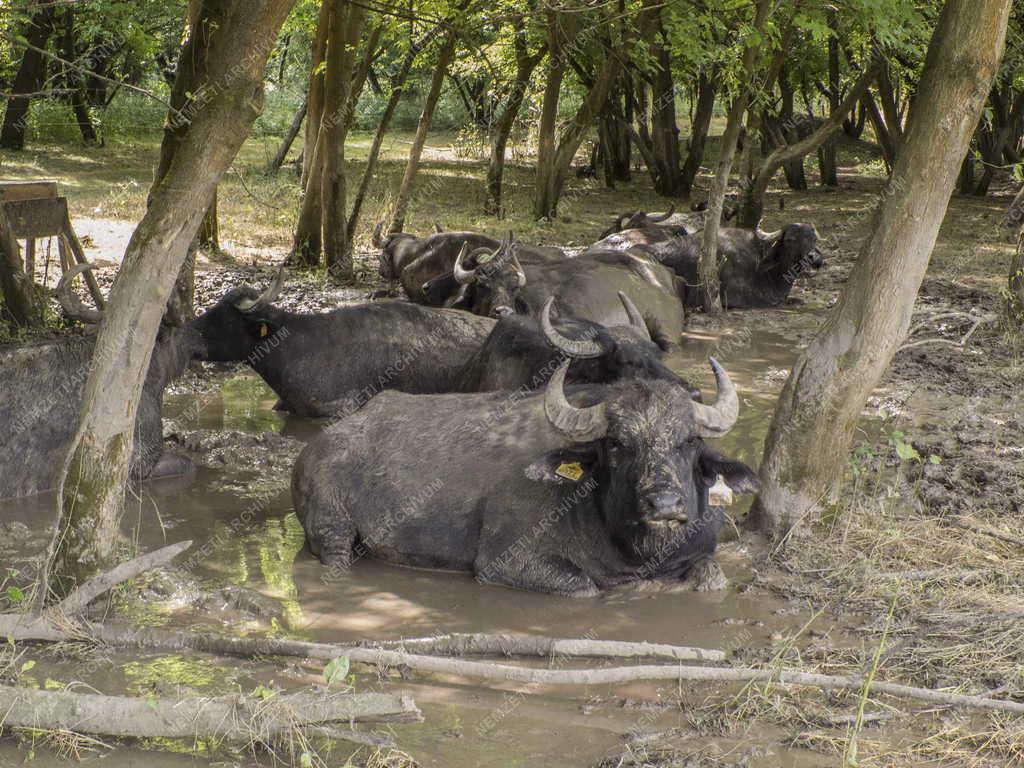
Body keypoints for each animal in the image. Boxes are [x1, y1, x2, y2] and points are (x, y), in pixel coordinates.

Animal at [292, 358, 757, 598]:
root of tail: (316, 448)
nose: (664, 504)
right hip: (333, 532)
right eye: (617, 444)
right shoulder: (507, 563)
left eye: (689, 442)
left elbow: (713, 577)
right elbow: (585, 587)